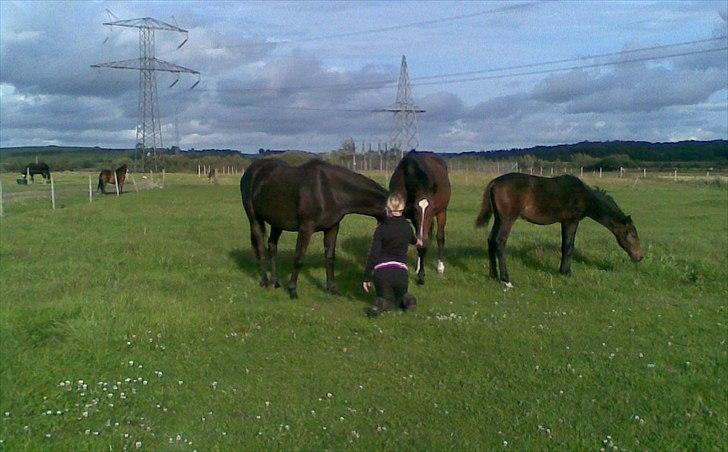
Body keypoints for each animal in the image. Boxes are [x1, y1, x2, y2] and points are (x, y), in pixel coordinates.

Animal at [240, 159, 390, 300]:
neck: (330, 190)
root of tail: (252, 170)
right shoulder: (306, 227)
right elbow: (299, 258)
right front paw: (292, 290)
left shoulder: (332, 227)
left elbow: (330, 258)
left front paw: (332, 289)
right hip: (254, 219)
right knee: (260, 248)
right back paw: (265, 282)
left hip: (277, 222)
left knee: (272, 247)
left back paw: (275, 282)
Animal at [386, 152, 450, 286]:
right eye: (415, 209)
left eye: (432, 209)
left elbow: (424, 244)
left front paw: (421, 276)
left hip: (442, 211)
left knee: (439, 237)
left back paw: (440, 267)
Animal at [478, 173, 644, 286]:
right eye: (631, 234)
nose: (640, 256)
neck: (583, 196)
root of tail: (494, 183)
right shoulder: (571, 221)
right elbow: (568, 246)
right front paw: (566, 272)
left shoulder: (564, 222)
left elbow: (565, 246)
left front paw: (563, 271)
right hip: (507, 219)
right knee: (500, 242)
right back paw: (506, 280)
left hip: (498, 219)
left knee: (491, 240)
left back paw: (493, 275)